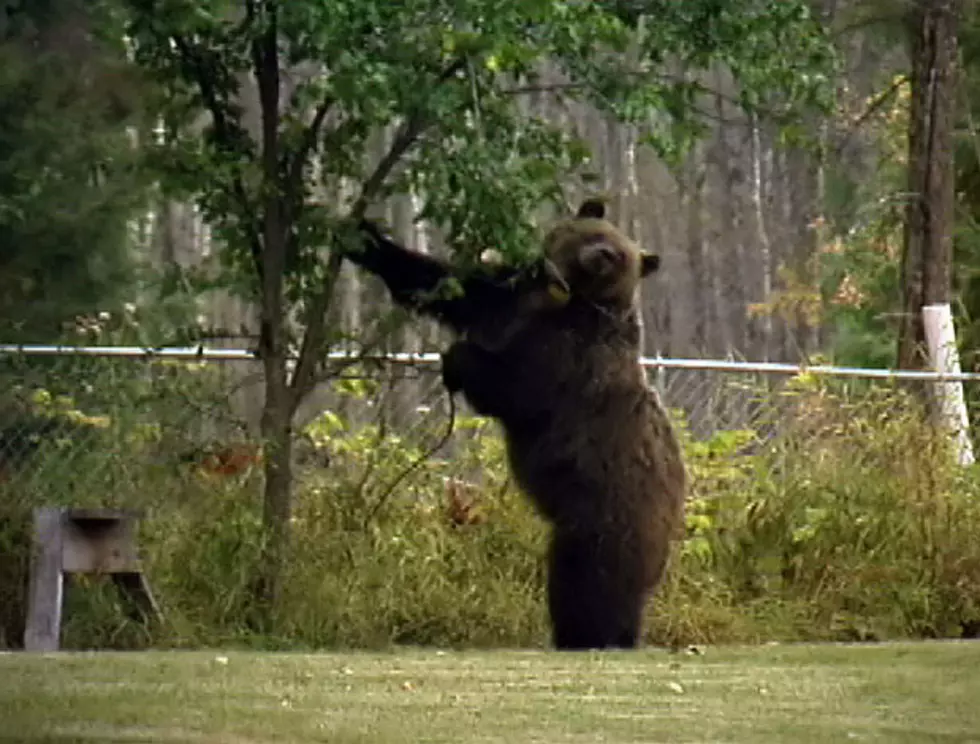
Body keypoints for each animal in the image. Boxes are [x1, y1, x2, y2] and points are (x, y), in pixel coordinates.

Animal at [348, 201, 684, 648]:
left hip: (609, 511)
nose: (601, 256)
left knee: (587, 578)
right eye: (596, 233)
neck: (560, 299)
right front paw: (361, 236)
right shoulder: (510, 296)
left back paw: (587, 634)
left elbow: (519, 387)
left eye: (619, 255)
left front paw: (458, 359)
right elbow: (450, 285)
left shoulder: (573, 359)